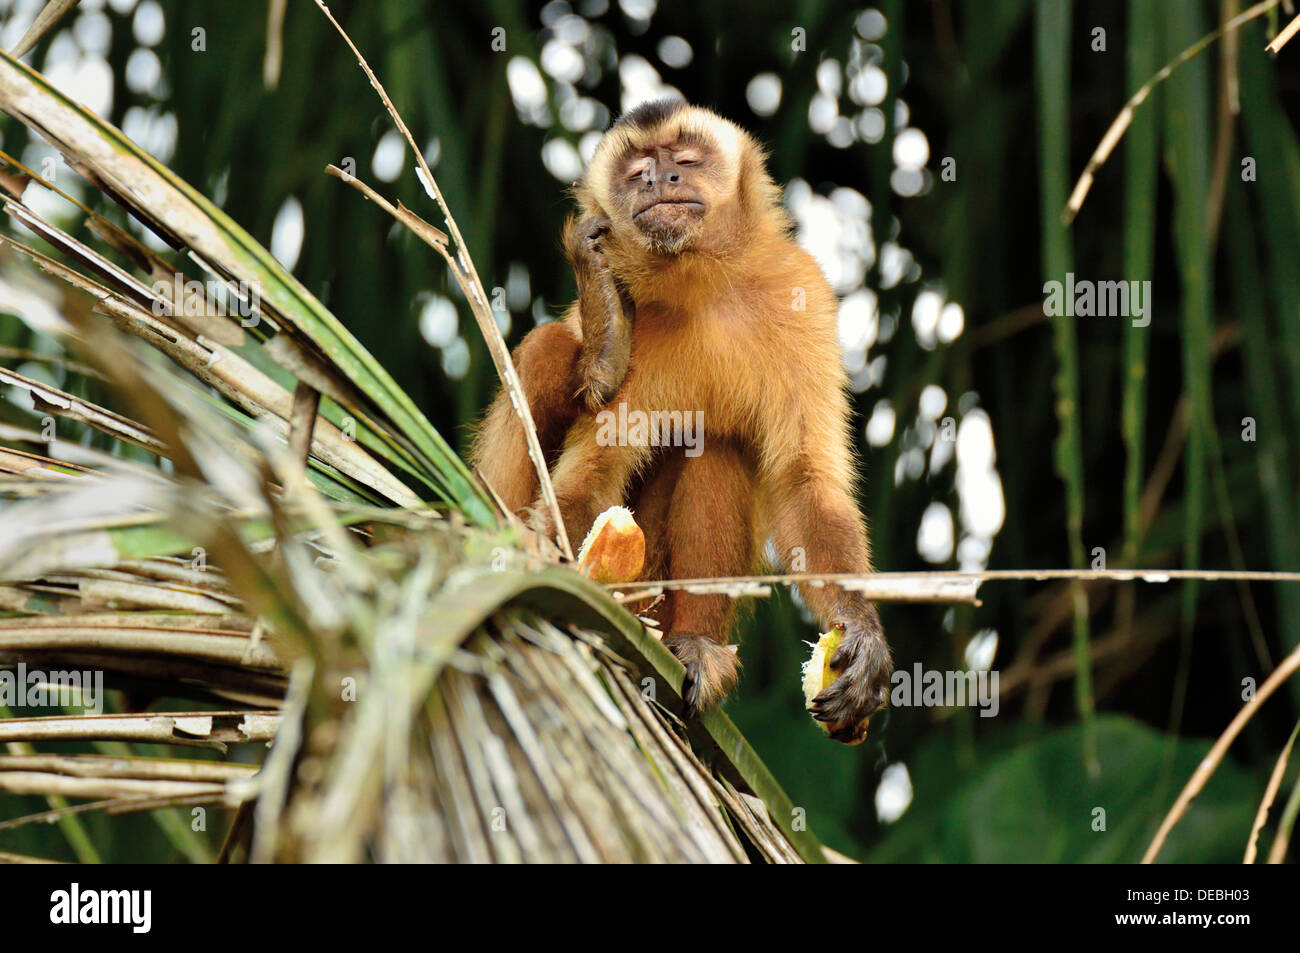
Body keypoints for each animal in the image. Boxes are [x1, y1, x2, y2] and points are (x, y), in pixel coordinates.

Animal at [473, 98, 889, 738]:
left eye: (685, 160)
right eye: (636, 170)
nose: (660, 179)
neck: (702, 278)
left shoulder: (803, 292)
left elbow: (803, 483)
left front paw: (861, 631)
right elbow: (589, 482)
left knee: (716, 447)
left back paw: (696, 644)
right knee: (548, 349)